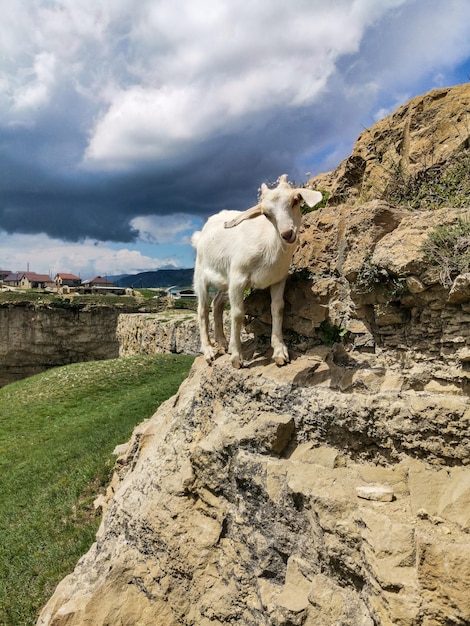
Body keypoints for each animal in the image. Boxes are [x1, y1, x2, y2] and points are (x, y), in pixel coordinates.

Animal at [190, 173, 320, 368]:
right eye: (266, 214)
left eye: (295, 201)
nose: (287, 234)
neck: (270, 245)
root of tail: (200, 235)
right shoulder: (238, 279)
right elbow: (237, 314)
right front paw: (237, 358)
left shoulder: (278, 279)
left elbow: (277, 308)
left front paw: (280, 352)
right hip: (201, 276)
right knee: (202, 310)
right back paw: (209, 351)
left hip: (225, 279)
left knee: (217, 303)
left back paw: (222, 343)